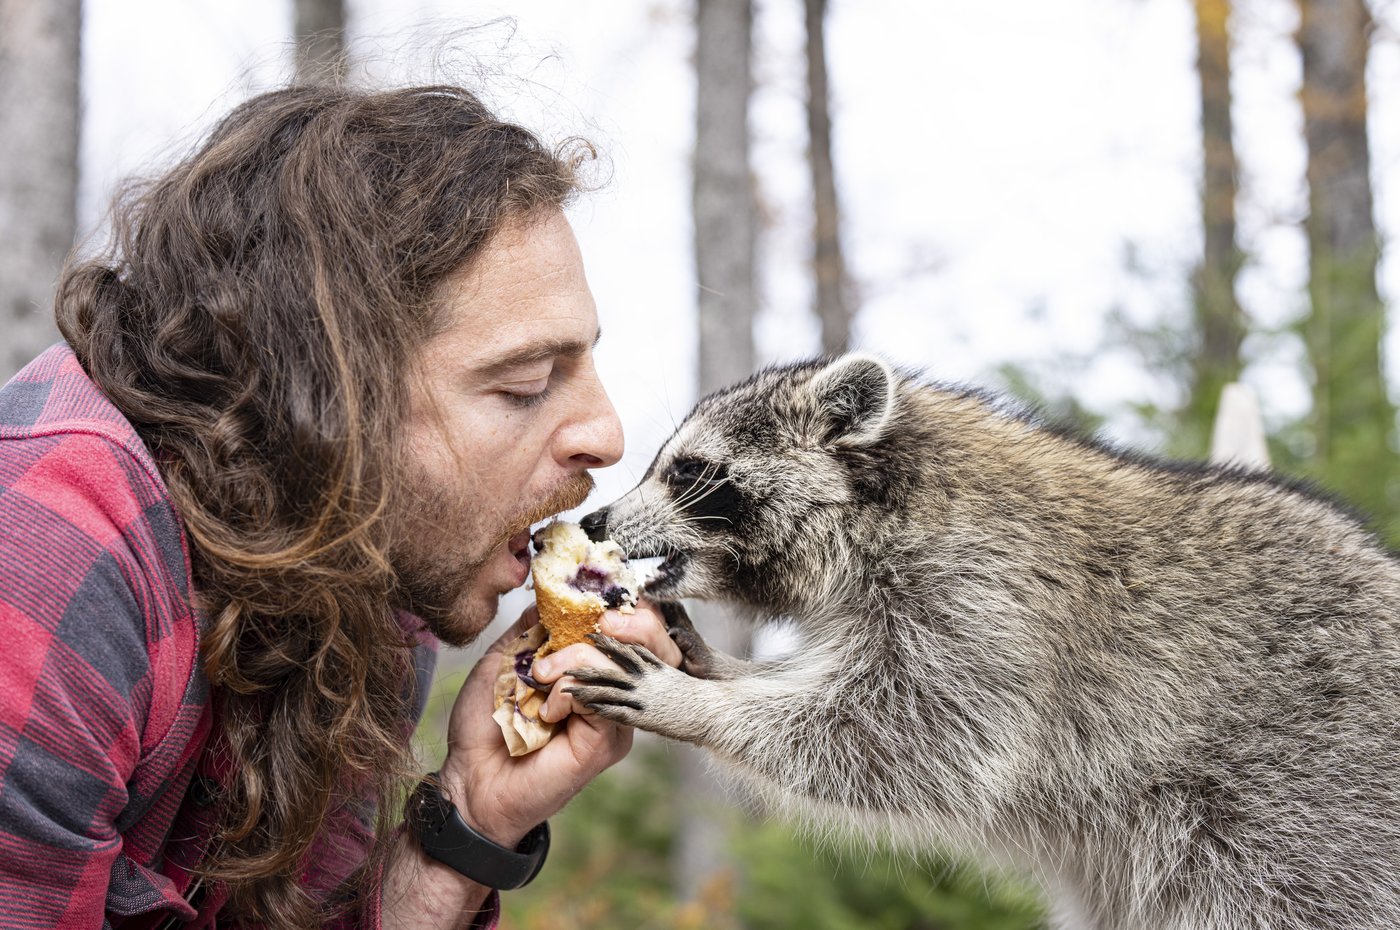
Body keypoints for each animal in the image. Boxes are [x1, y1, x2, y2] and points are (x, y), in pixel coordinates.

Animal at [566, 354, 1400, 930]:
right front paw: (725, 673)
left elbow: (907, 738)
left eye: (687, 471)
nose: (595, 520)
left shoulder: (988, 605)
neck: (882, 509)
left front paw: (698, 706)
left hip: (1300, 829)